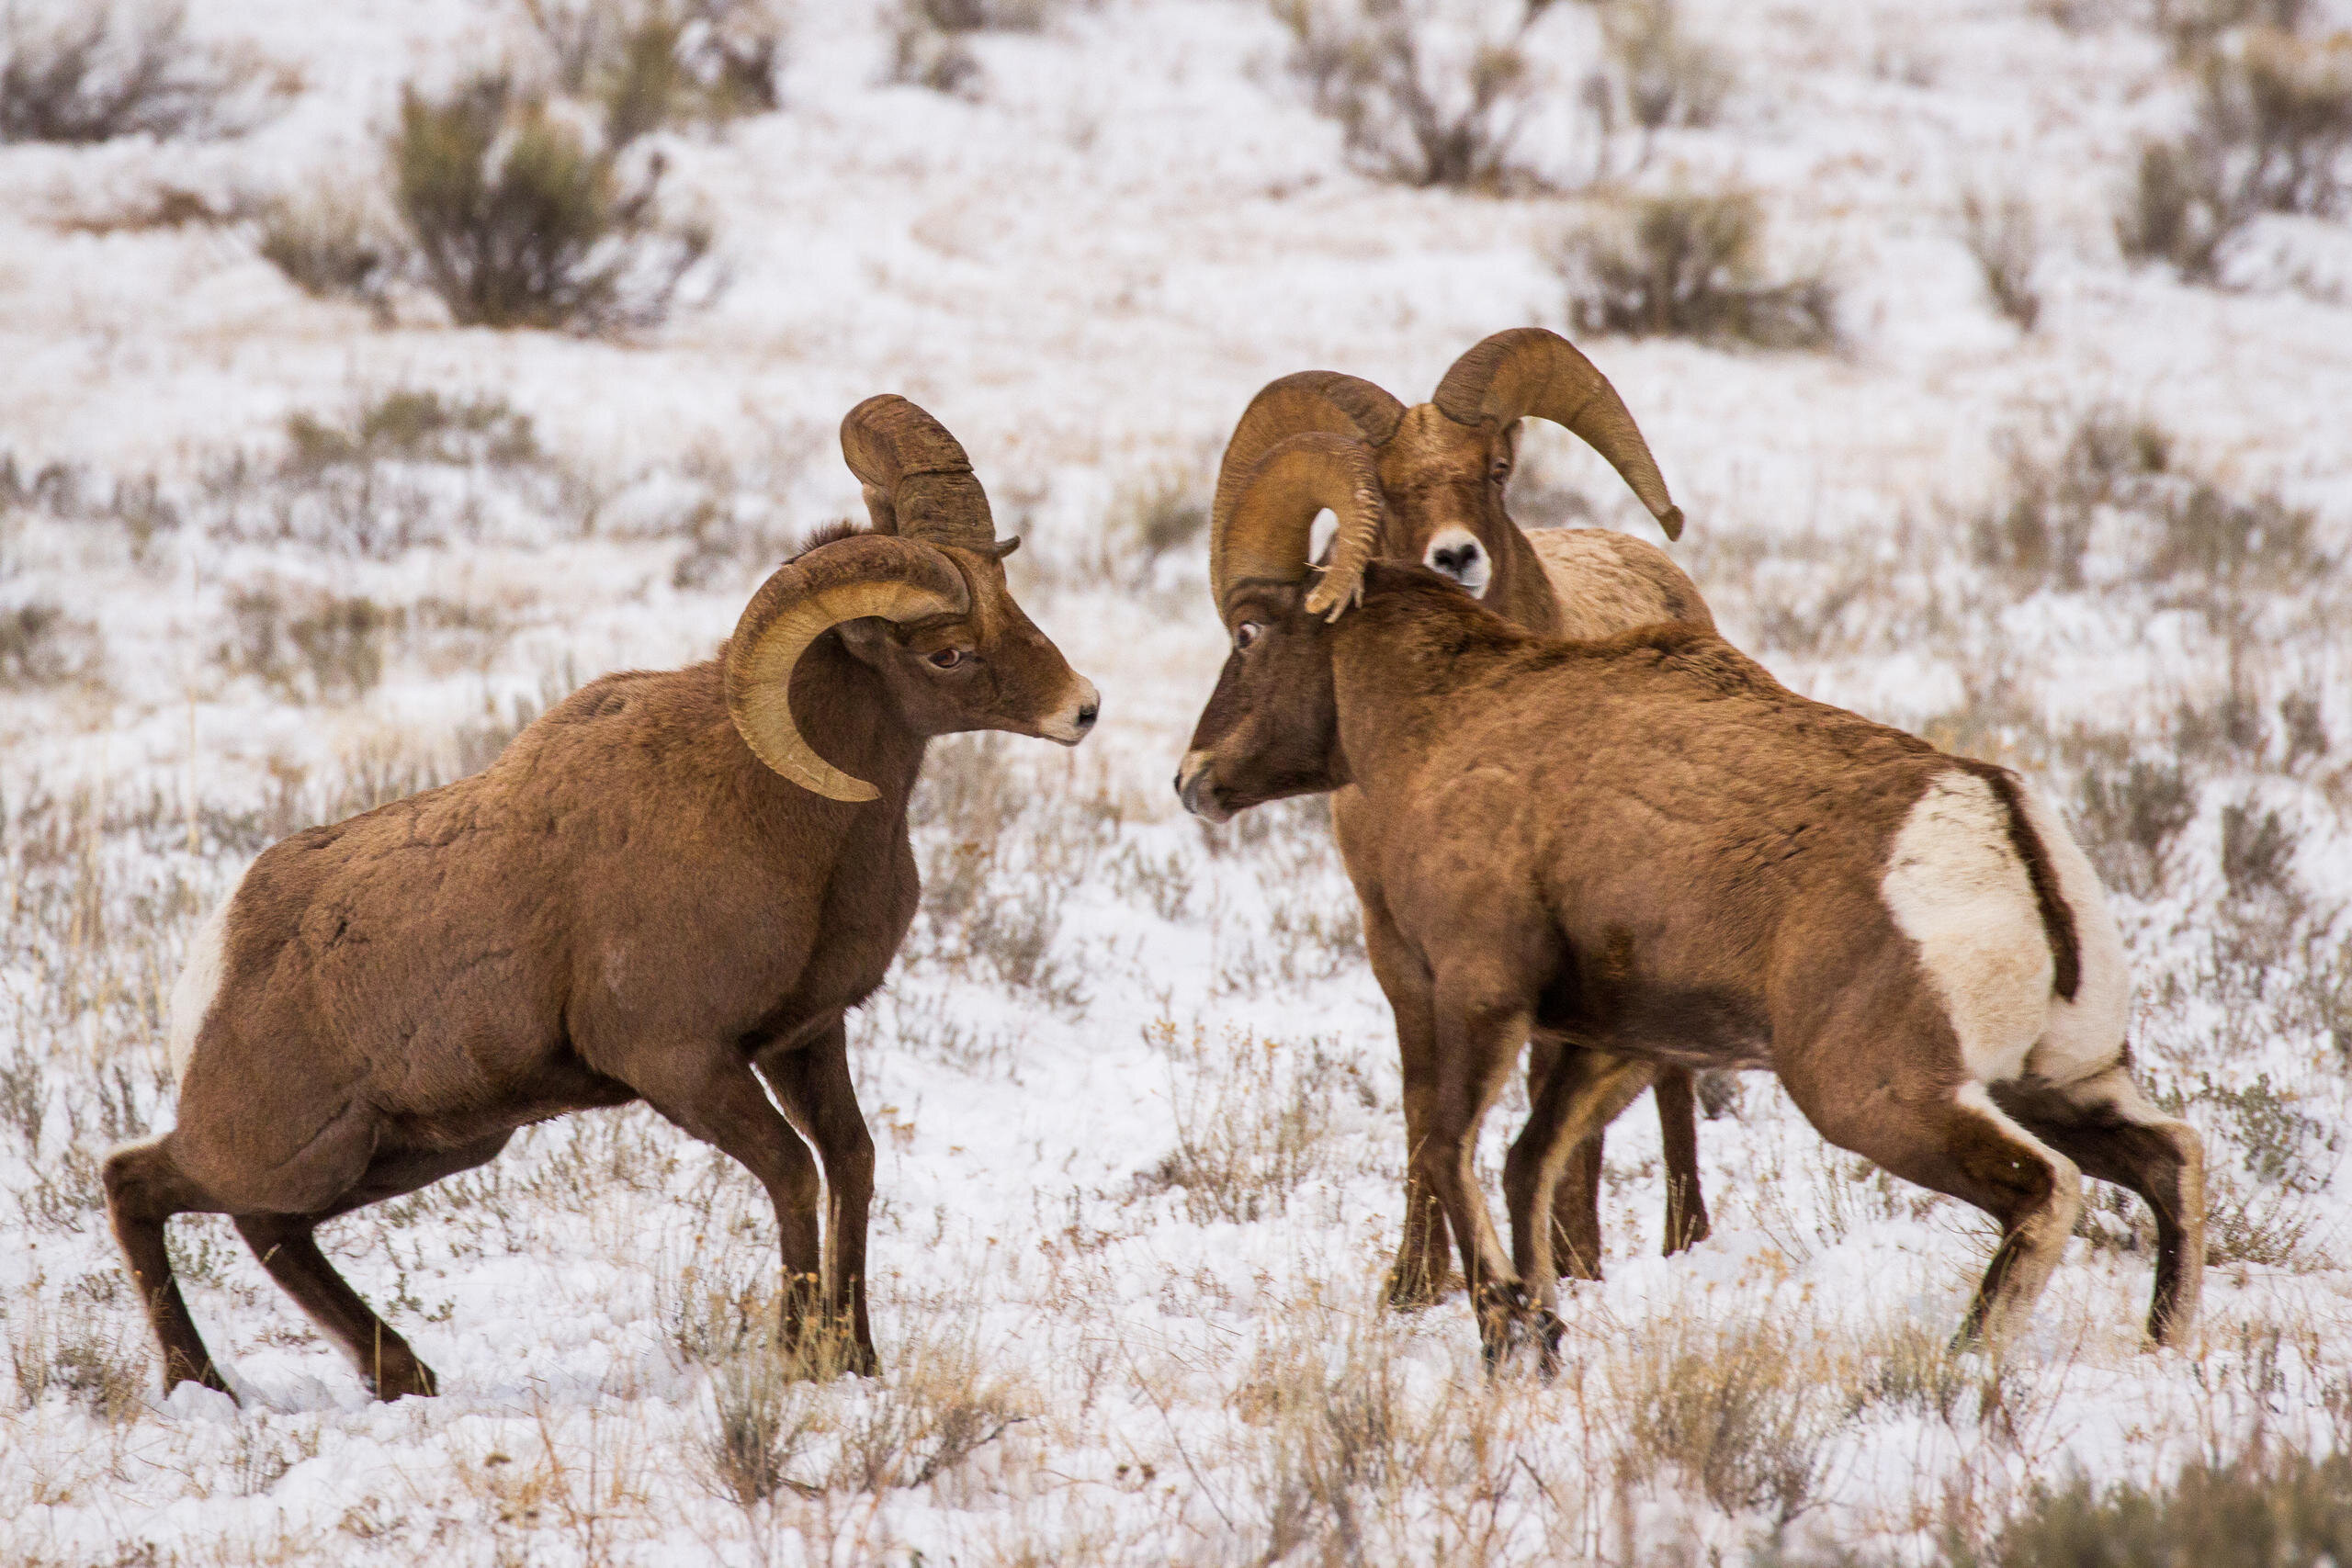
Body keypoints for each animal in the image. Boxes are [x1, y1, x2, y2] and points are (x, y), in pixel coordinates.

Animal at [104, 395, 1100, 1401]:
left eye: (1011, 599)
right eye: (949, 652)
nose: (1084, 707)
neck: (785, 817)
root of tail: (216, 959)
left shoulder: (806, 1039)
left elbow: (850, 1166)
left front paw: (855, 1363)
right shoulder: (678, 1061)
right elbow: (793, 1174)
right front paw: (794, 1361)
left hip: (427, 1147)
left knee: (265, 1228)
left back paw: (398, 1374)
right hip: (291, 1152)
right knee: (138, 1182)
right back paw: (203, 1382)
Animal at [1174, 432, 2204, 1366]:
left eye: (1248, 635)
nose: (1193, 780)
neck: (1445, 729)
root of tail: (2000, 827)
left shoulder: (1479, 995)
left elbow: (1448, 1148)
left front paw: (1504, 1332)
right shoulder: (1610, 1042)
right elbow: (1527, 1164)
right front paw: (1543, 1330)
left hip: (1873, 1097)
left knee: (2045, 1190)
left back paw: (1961, 1370)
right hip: (2058, 1082)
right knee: (2172, 1159)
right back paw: (2163, 1348)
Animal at [1209, 328, 1715, 1305]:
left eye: (1496, 470)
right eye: (1390, 488)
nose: (1456, 557)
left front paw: (1569, 1263)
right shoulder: (1398, 951)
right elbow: (1421, 1106)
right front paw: (1411, 1283)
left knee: (1670, 1087)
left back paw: (1678, 1243)